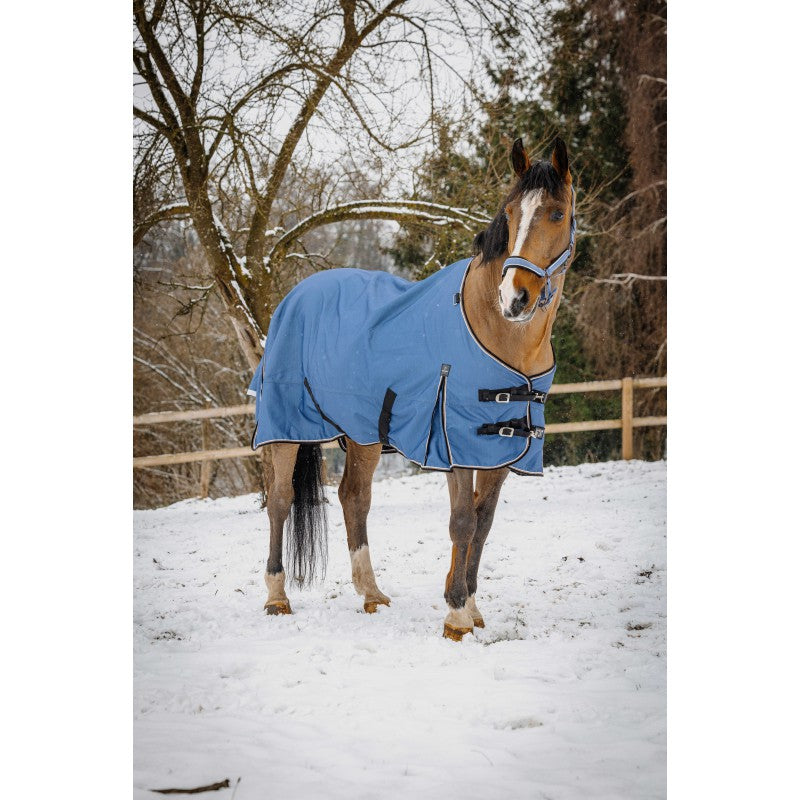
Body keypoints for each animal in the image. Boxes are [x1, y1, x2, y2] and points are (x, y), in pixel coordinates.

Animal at [249, 137, 576, 641]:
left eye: (557, 213)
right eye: (509, 212)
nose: (514, 298)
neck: (496, 330)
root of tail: (293, 298)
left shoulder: (502, 447)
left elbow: (483, 523)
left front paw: (471, 606)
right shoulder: (452, 438)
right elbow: (462, 523)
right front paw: (457, 616)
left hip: (362, 434)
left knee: (354, 499)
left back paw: (371, 594)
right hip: (284, 427)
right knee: (280, 501)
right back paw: (277, 597)